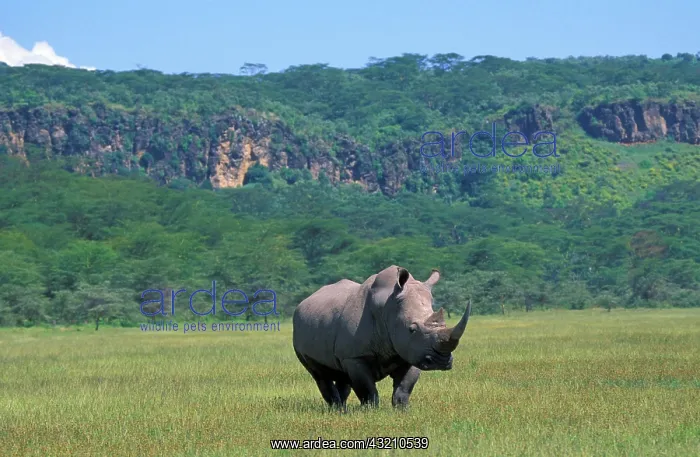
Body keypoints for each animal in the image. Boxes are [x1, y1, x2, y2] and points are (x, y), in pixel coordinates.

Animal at [292, 265, 471, 409]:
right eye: (412, 329)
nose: (441, 362)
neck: (387, 305)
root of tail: (302, 303)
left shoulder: (413, 351)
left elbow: (404, 388)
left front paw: (402, 411)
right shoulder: (355, 357)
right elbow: (367, 390)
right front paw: (371, 411)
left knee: (342, 375)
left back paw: (341, 409)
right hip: (299, 329)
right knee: (320, 375)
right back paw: (337, 409)